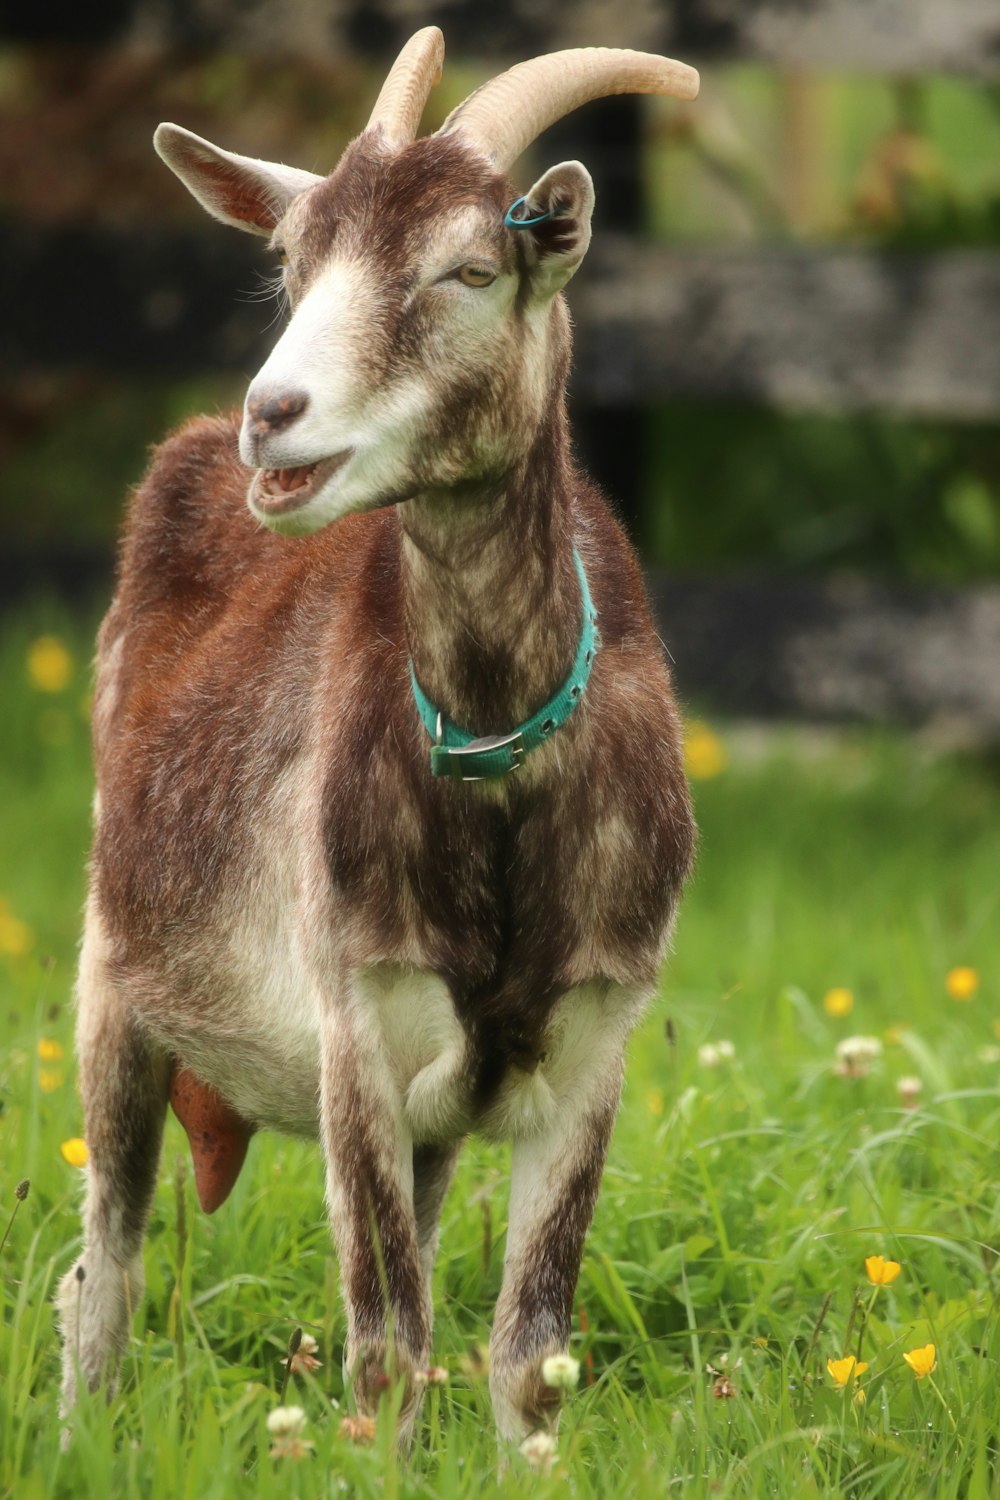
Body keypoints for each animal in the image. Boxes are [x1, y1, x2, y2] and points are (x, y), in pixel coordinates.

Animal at [54, 29, 695, 1446]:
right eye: (292, 267)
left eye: (468, 268)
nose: (272, 416)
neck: (498, 765)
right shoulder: (356, 1013)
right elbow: (387, 1349)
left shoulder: (592, 1045)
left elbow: (528, 1353)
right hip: (114, 982)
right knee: (102, 1262)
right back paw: (76, 1431)